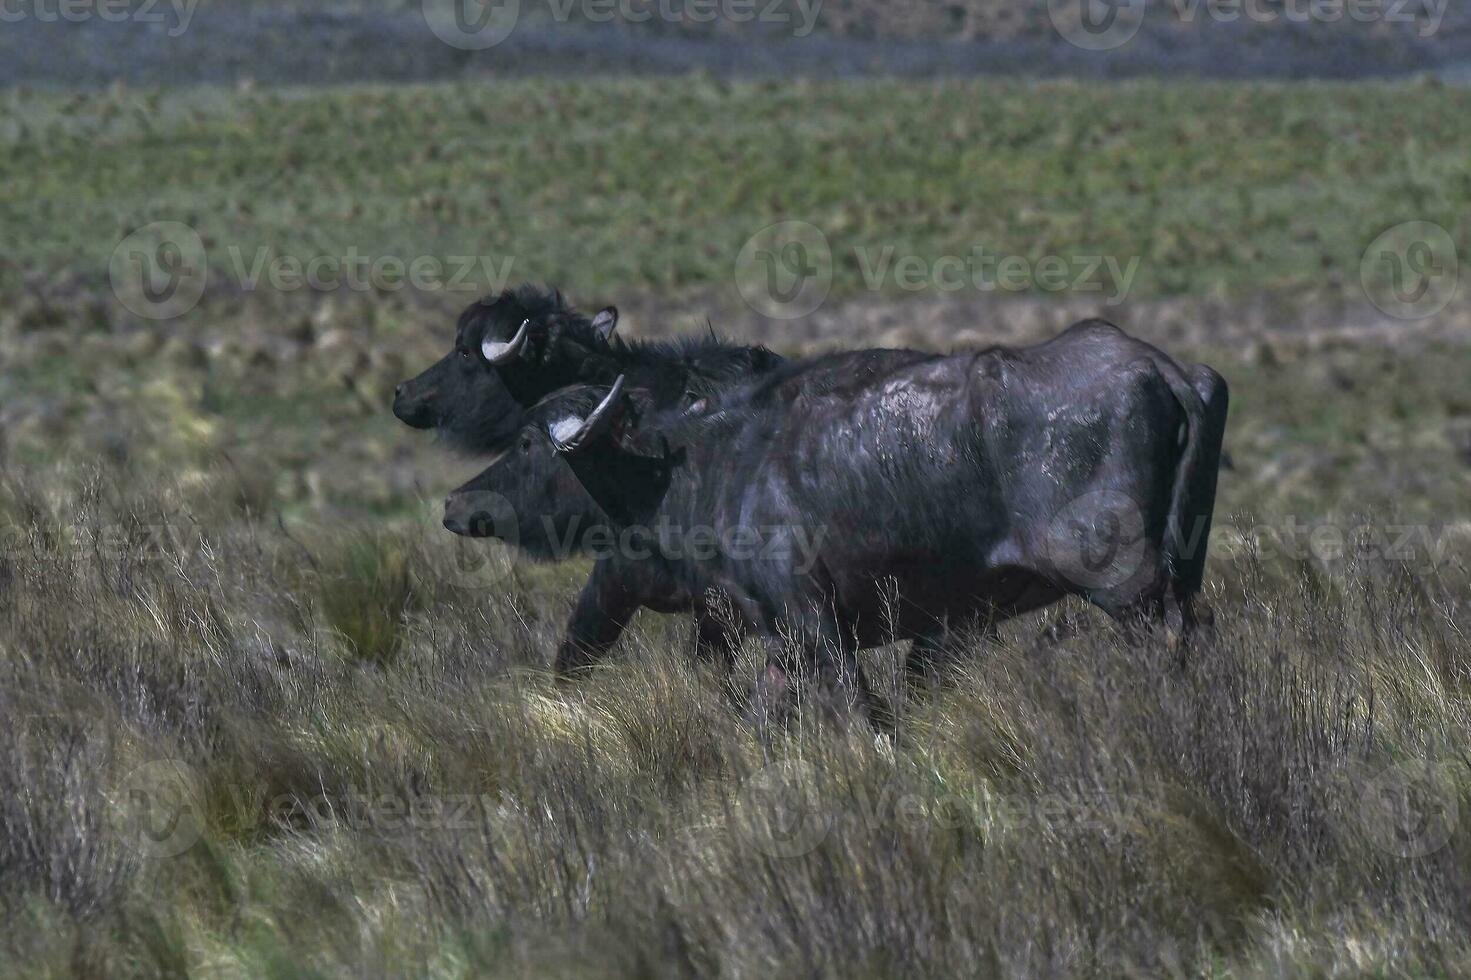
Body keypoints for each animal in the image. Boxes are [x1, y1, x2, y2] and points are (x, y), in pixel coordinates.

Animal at [444, 319, 1229, 718]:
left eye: (526, 440)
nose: (457, 504)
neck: (705, 460)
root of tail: (1162, 367)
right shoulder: (778, 641)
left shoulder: (812, 619)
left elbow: (859, 711)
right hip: (1179, 572)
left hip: (1126, 586)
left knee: (1167, 641)